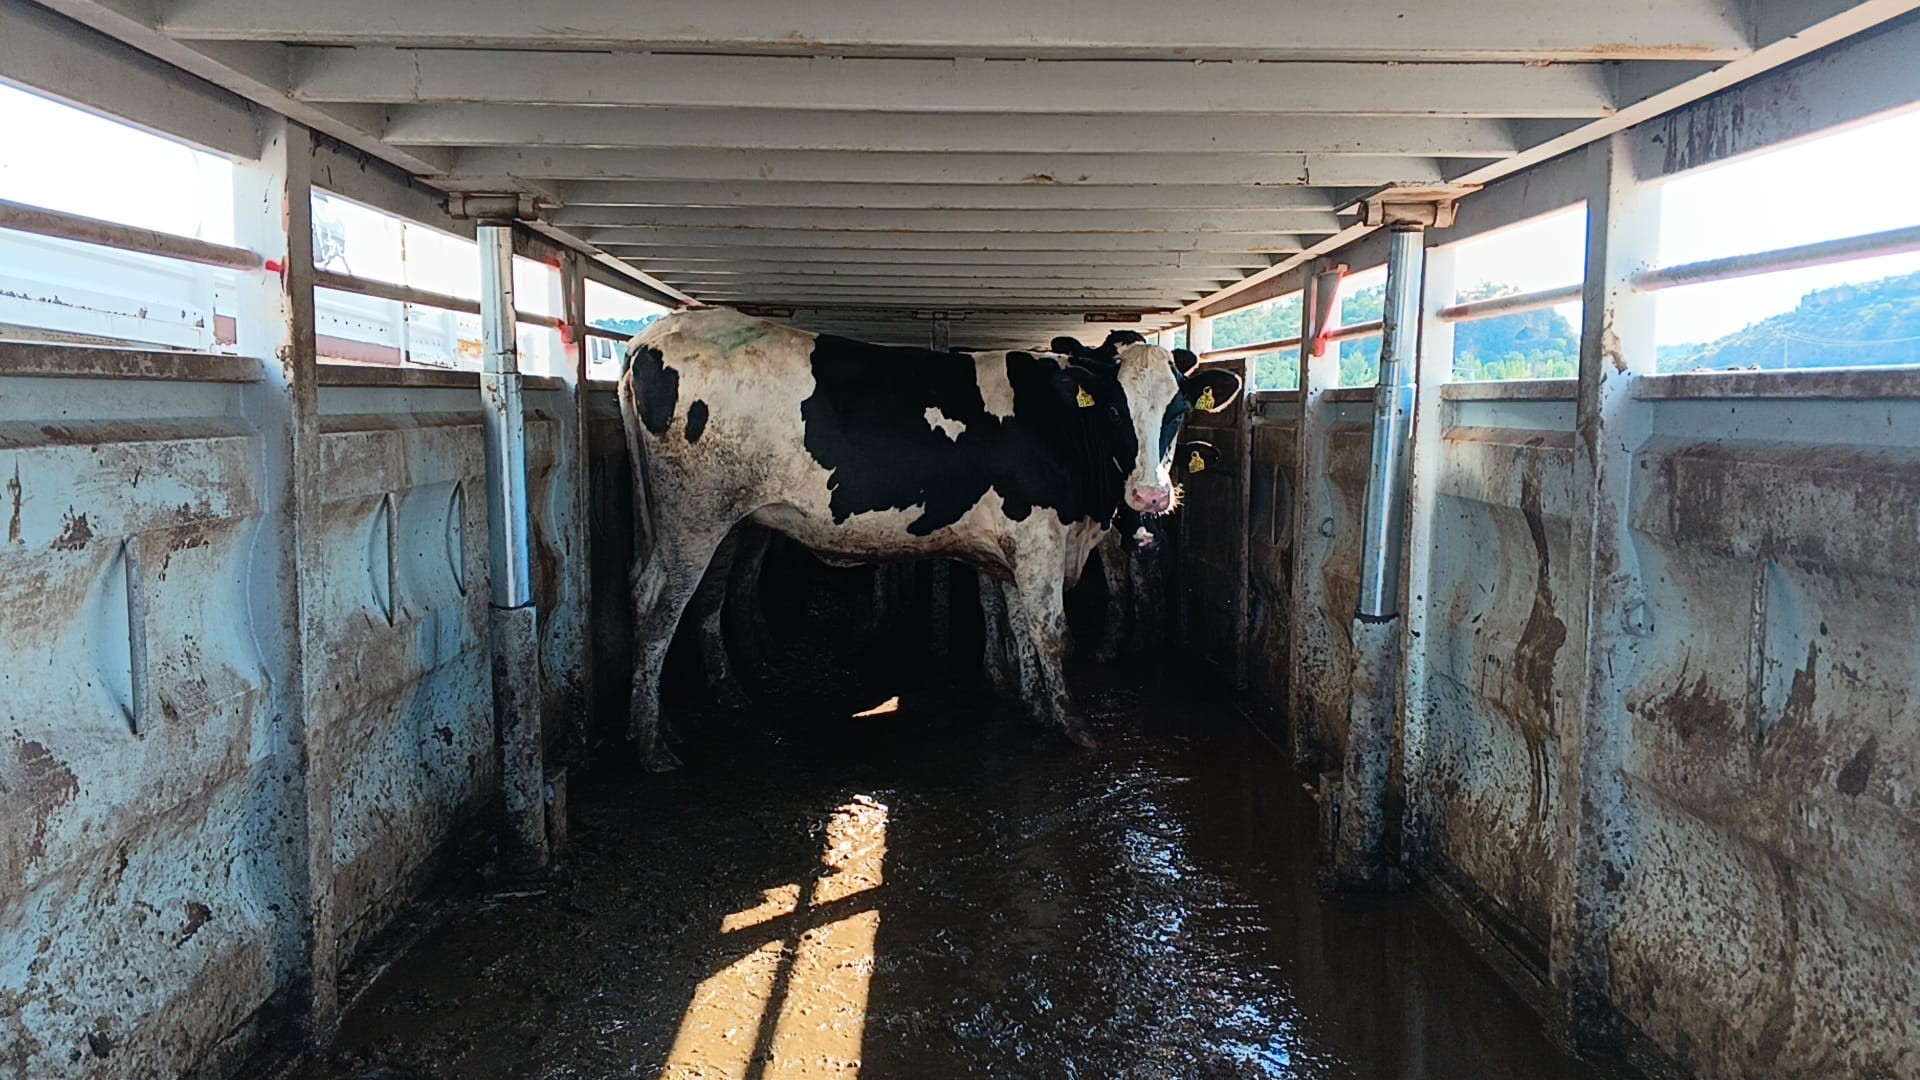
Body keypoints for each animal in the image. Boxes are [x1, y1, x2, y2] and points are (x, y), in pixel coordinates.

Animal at [622, 307, 1236, 768]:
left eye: (1179, 409)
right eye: (1112, 409)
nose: (1151, 496)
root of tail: (655, 334)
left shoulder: (1012, 546)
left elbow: (1017, 622)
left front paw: (1034, 704)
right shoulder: (1040, 539)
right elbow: (1051, 632)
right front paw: (1071, 723)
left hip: (712, 522)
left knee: (678, 594)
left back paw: (684, 715)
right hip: (694, 520)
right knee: (658, 609)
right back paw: (651, 746)